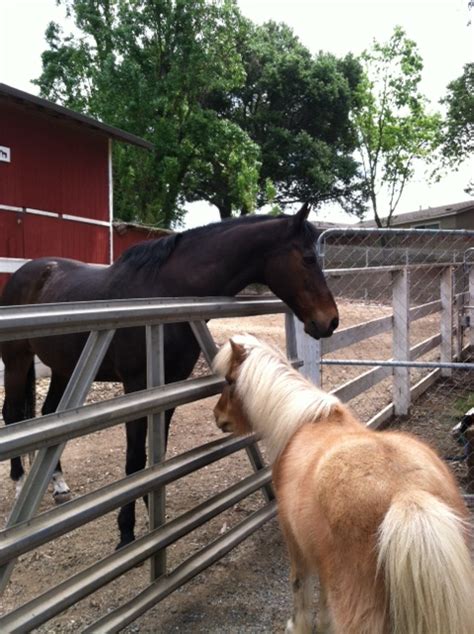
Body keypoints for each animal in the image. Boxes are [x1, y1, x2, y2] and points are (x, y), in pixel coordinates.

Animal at [0, 204, 340, 548]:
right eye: (308, 259)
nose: (330, 321)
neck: (166, 290)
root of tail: (27, 272)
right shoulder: (137, 387)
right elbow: (136, 459)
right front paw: (126, 532)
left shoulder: (169, 386)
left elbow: (157, 458)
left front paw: (154, 517)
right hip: (16, 361)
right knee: (13, 414)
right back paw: (19, 487)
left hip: (63, 368)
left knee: (47, 415)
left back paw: (58, 484)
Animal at [215, 334, 474, 628]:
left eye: (229, 380)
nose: (217, 416)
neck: (304, 422)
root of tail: (408, 494)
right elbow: (324, 599)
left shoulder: (294, 541)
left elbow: (300, 587)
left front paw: (298, 626)